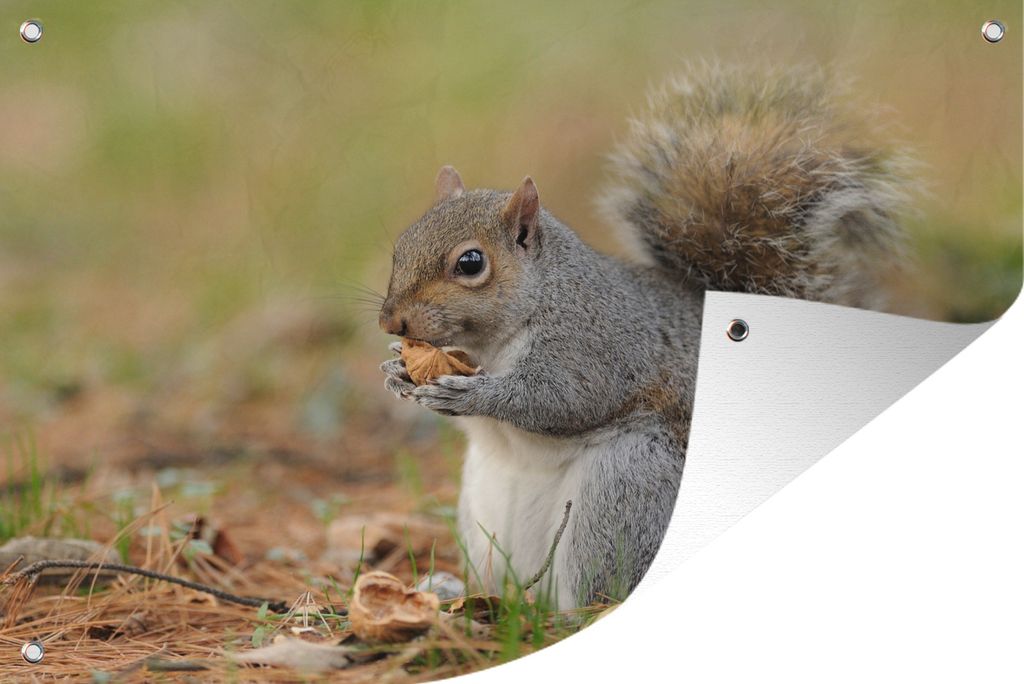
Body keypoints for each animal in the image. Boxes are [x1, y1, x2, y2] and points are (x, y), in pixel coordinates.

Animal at [377, 63, 909, 608]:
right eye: (401, 246)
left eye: (470, 263)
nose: (392, 322)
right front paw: (397, 369)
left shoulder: (596, 344)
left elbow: (562, 400)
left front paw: (471, 394)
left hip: (625, 490)